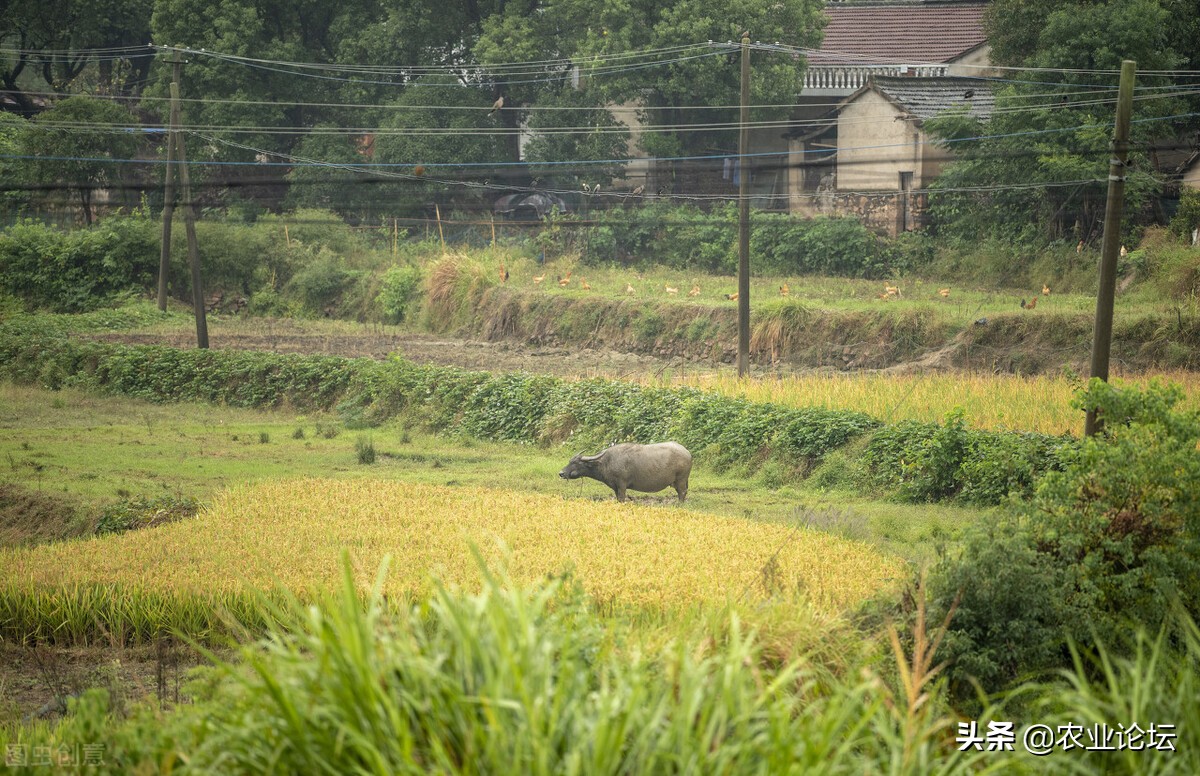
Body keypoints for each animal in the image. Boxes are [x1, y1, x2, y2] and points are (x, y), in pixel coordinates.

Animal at [556, 443, 691, 503]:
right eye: (570, 461)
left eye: (575, 463)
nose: (561, 473)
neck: (606, 462)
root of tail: (687, 452)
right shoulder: (615, 486)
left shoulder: (622, 484)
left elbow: (622, 498)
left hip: (681, 479)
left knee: (682, 492)